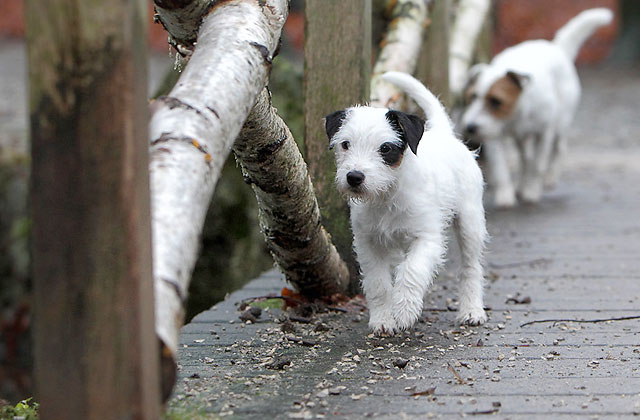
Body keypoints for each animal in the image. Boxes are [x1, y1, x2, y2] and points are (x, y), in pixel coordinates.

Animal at [328, 72, 488, 334]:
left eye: (385, 148)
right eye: (345, 144)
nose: (354, 177)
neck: (387, 195)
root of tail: (444, 133)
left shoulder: (427, 239)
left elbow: (412, 271)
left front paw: (404, 311)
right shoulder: (368, 243)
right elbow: (378, 283)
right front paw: (383, 320)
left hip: (470, 223)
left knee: (471, 267)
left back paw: (472, 310)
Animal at [460, 8, 616, 208]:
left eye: (496, 101)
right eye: (472, 97)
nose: (471, 127)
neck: (515, 115)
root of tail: (556, 47)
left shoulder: (544, 134)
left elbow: (537, 166)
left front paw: (531, 191)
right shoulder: (494, 136)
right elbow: (502, 168)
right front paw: (505, 195)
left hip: (560, 125)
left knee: (559, 149)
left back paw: (549, 178)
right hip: (522, 139)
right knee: (525, 159)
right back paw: (521, 183)